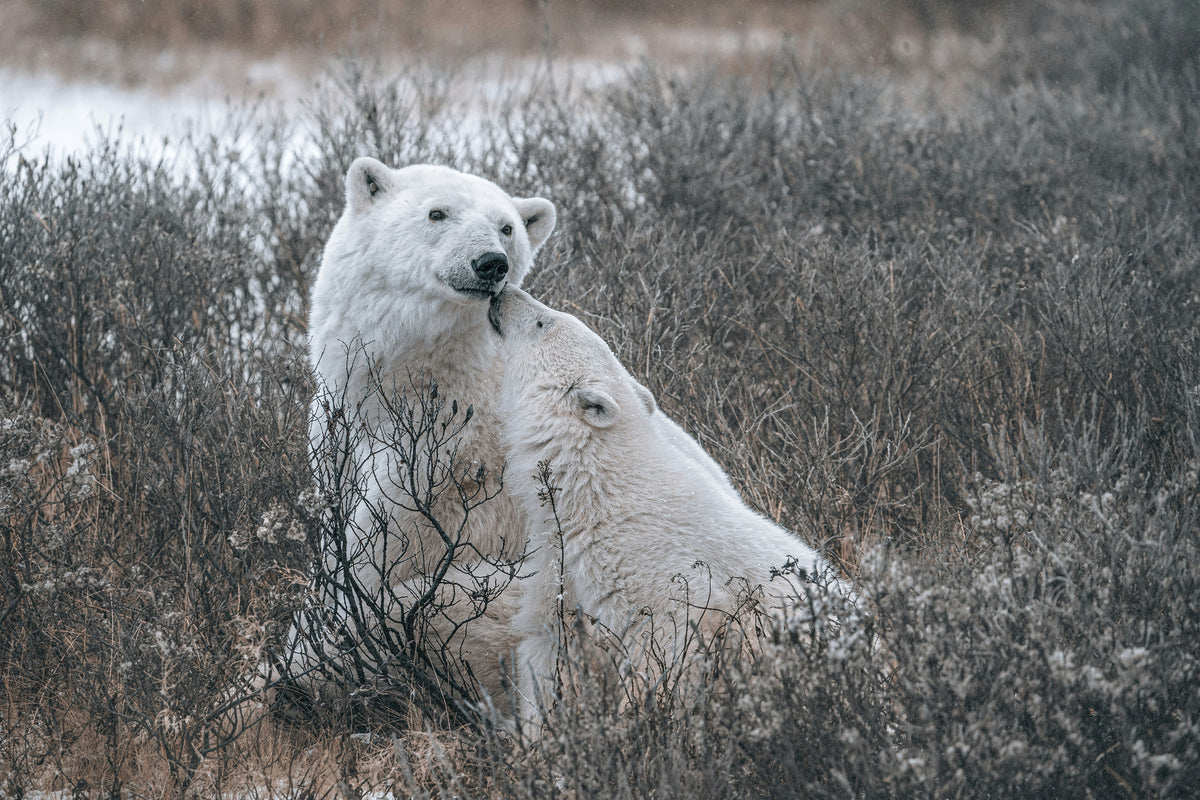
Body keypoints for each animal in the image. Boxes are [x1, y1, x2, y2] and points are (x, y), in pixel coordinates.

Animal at [285, 158, 556, 714]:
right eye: (437, 213)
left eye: (506, 227)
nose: (490, 263)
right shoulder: (339, 427)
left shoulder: (444, 468)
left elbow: (375, 552)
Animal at [486, 285, 851, 724]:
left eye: (543, 322)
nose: (502, 291)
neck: (600, 492)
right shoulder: (561, 568)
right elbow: (548, 646)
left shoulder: (663, 588)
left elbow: (663, 656)